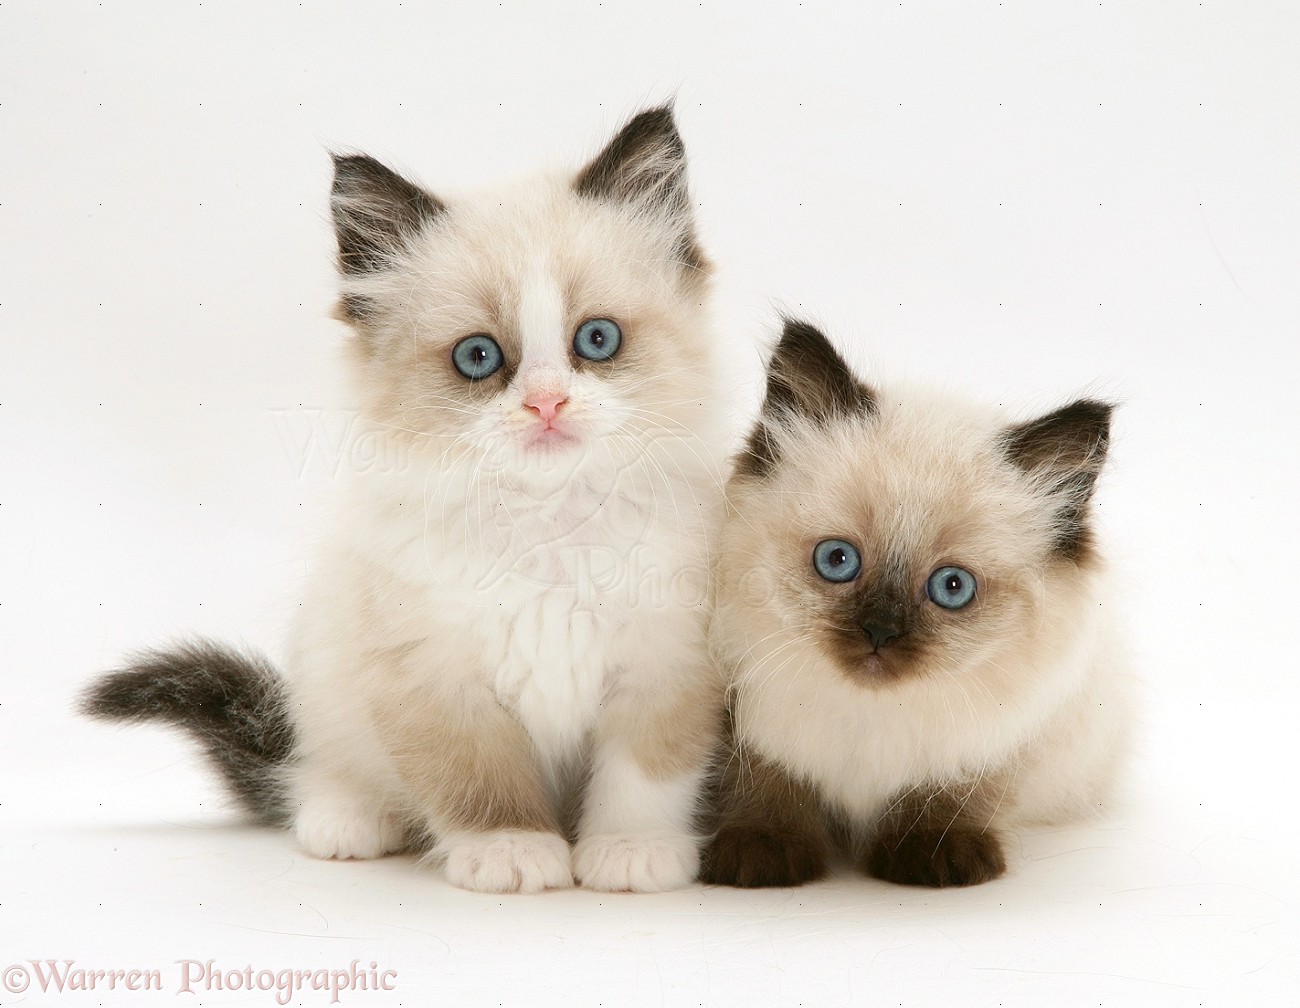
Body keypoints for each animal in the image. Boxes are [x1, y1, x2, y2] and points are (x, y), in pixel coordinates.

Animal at [81, 108, 728, 900]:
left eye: (597, 340)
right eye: (478, 358)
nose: (547, 404)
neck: (545, 530)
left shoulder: (666, 666)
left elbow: (642, 778)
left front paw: (631, 852)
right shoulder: (431, 679)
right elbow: (478, 781)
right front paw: (512, 851)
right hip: (325, 673)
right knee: (317, 773)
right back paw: (348, 822)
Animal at [702, 319, 1128, 889]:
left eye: (952, 587)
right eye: (837, 560)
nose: (880, 632)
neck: (868, 715)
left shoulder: (1001, 738)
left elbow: (951, 794)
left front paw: (936, 856)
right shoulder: (750, 723)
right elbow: (767, 783)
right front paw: (762, 850)